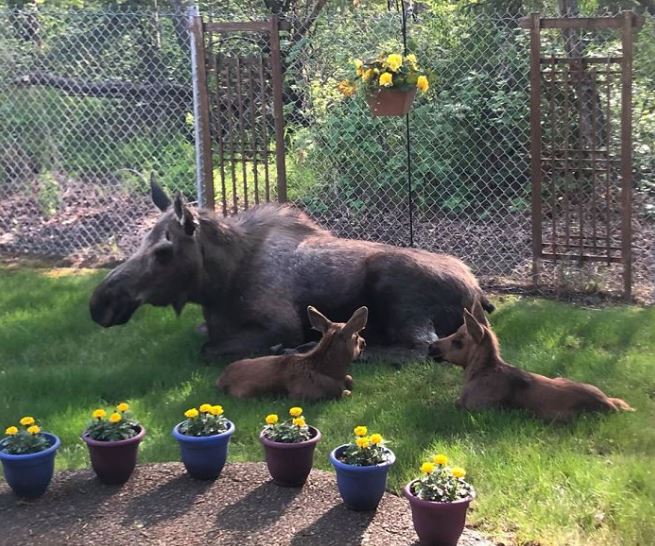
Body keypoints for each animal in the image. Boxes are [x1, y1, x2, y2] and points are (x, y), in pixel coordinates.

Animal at [89, 177, 494, 362]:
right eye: (142, 239)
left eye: (163, 251)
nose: (100, 302)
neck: (217, 286)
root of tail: (478, 293)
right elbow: (202, 335)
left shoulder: (279, 323)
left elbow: (208, 349)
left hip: (398, 292)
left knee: (420, 349)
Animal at [217, 304, 366, 398]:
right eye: (356, 336)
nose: (364, 342)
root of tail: (220, 380)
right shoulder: (302, 394)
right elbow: (346, 393)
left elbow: (350, 379)